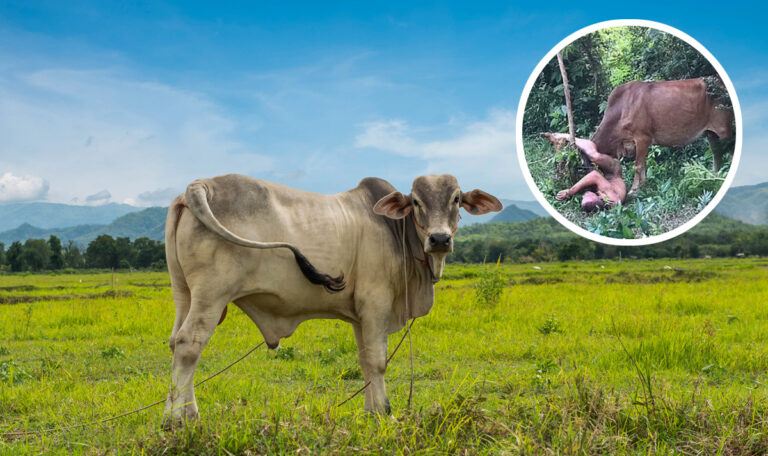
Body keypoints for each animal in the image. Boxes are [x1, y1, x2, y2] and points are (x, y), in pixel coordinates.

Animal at [162, 173, 502, 427]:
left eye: (456, 198)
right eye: (416, 201)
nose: (440, 239)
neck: (397, 231)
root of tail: (199, 186)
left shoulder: (360, 316)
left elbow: (365, 361)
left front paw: (371, 412)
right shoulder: (376, 303)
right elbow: (378, 362)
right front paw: (386, 413)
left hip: (184, 294)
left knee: (175, 342)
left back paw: (187, 414)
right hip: (211, 295)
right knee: (190, 344)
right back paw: (174, 419)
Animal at [589, 78, 733, 194]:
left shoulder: (642, 138)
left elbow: (638, 166)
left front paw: (634, 190)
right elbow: (643, 165)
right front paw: (643, 186)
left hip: (724, 129)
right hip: (711, 133)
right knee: (716, 152)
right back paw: (713, 175)